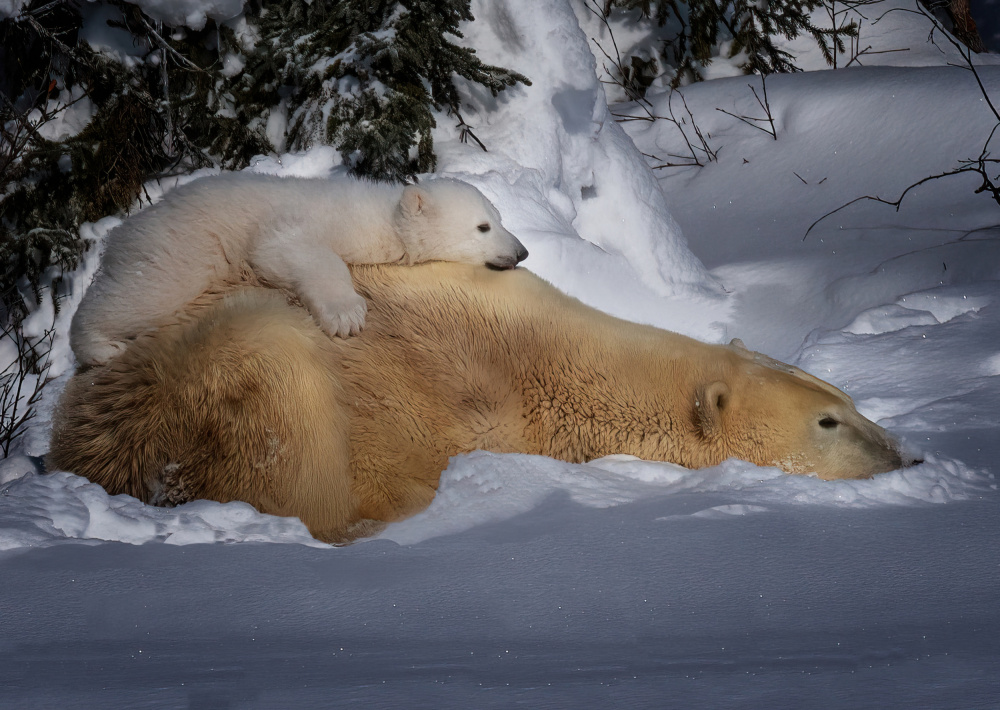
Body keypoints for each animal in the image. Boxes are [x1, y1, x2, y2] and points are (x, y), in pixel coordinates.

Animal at [68, 174, 532, 368]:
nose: (522, 251)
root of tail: (126, 229)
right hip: (184, 249)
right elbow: (290, 249)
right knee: (145, 294)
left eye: (500, 217)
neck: (385, 217)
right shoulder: (309, 222)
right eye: (483, 226)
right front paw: (345, 315)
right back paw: (101, 347)